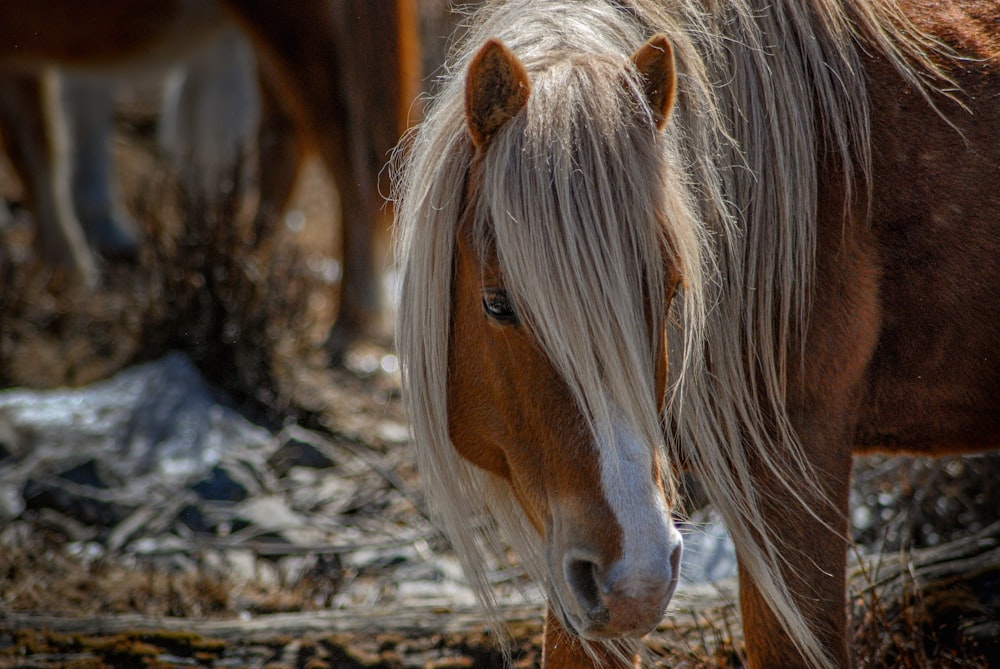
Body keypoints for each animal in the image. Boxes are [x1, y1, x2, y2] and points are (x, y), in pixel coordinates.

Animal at [0, 0, 418, 354]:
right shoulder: (19, 61)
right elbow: (36, 150)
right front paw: (67, 275)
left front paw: (69, 273)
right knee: (287, 135)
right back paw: (246, 263)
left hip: (291, 22)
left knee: (344, 145)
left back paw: (346, 321)